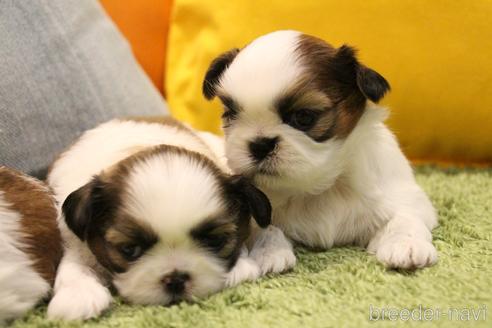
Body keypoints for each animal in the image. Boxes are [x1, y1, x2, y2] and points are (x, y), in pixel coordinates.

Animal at [47, 118, 270, 320]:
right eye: (130, 249)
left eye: (215, 240)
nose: (176, 279)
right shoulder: (74, 240)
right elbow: (74, 262)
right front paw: (78, 294)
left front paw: (240, 266)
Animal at [204, 30, 438, 274]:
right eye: (230, 114)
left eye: (304, 117)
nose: (259, 145)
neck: (320, 188)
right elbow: (266, 227)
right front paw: (270, 252)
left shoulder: (403, 195)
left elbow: (406, 216)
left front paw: (406, 245)